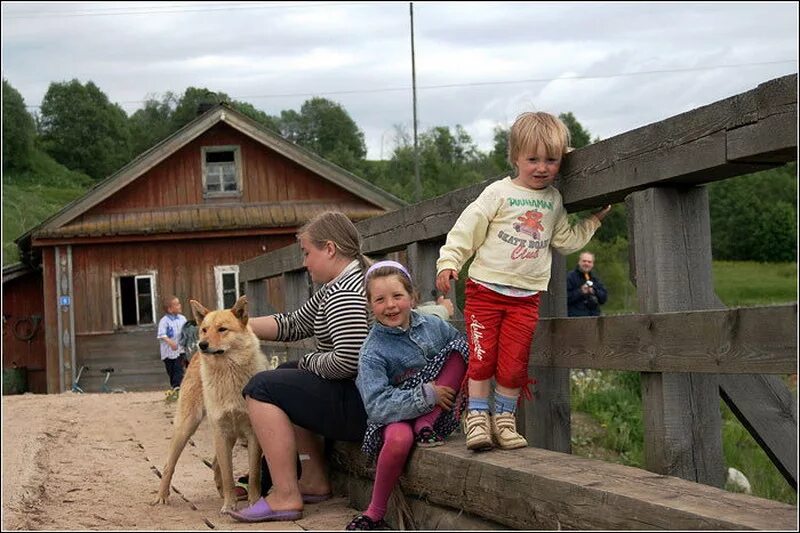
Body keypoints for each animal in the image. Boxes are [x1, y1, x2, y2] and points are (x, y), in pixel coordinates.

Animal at [152, 296, 270, 512]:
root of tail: (195, 358)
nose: (202, 344)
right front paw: (229, 506)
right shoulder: (221, 432)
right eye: (205, 329)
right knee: (169, 465)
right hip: (187, 427)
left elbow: (254, 473)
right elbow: (228, 473)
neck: (228, 373)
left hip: (227, 435)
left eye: (222, 329)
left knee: (216, 465)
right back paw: (162, 496)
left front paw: (254, 502)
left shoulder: (252, 433)